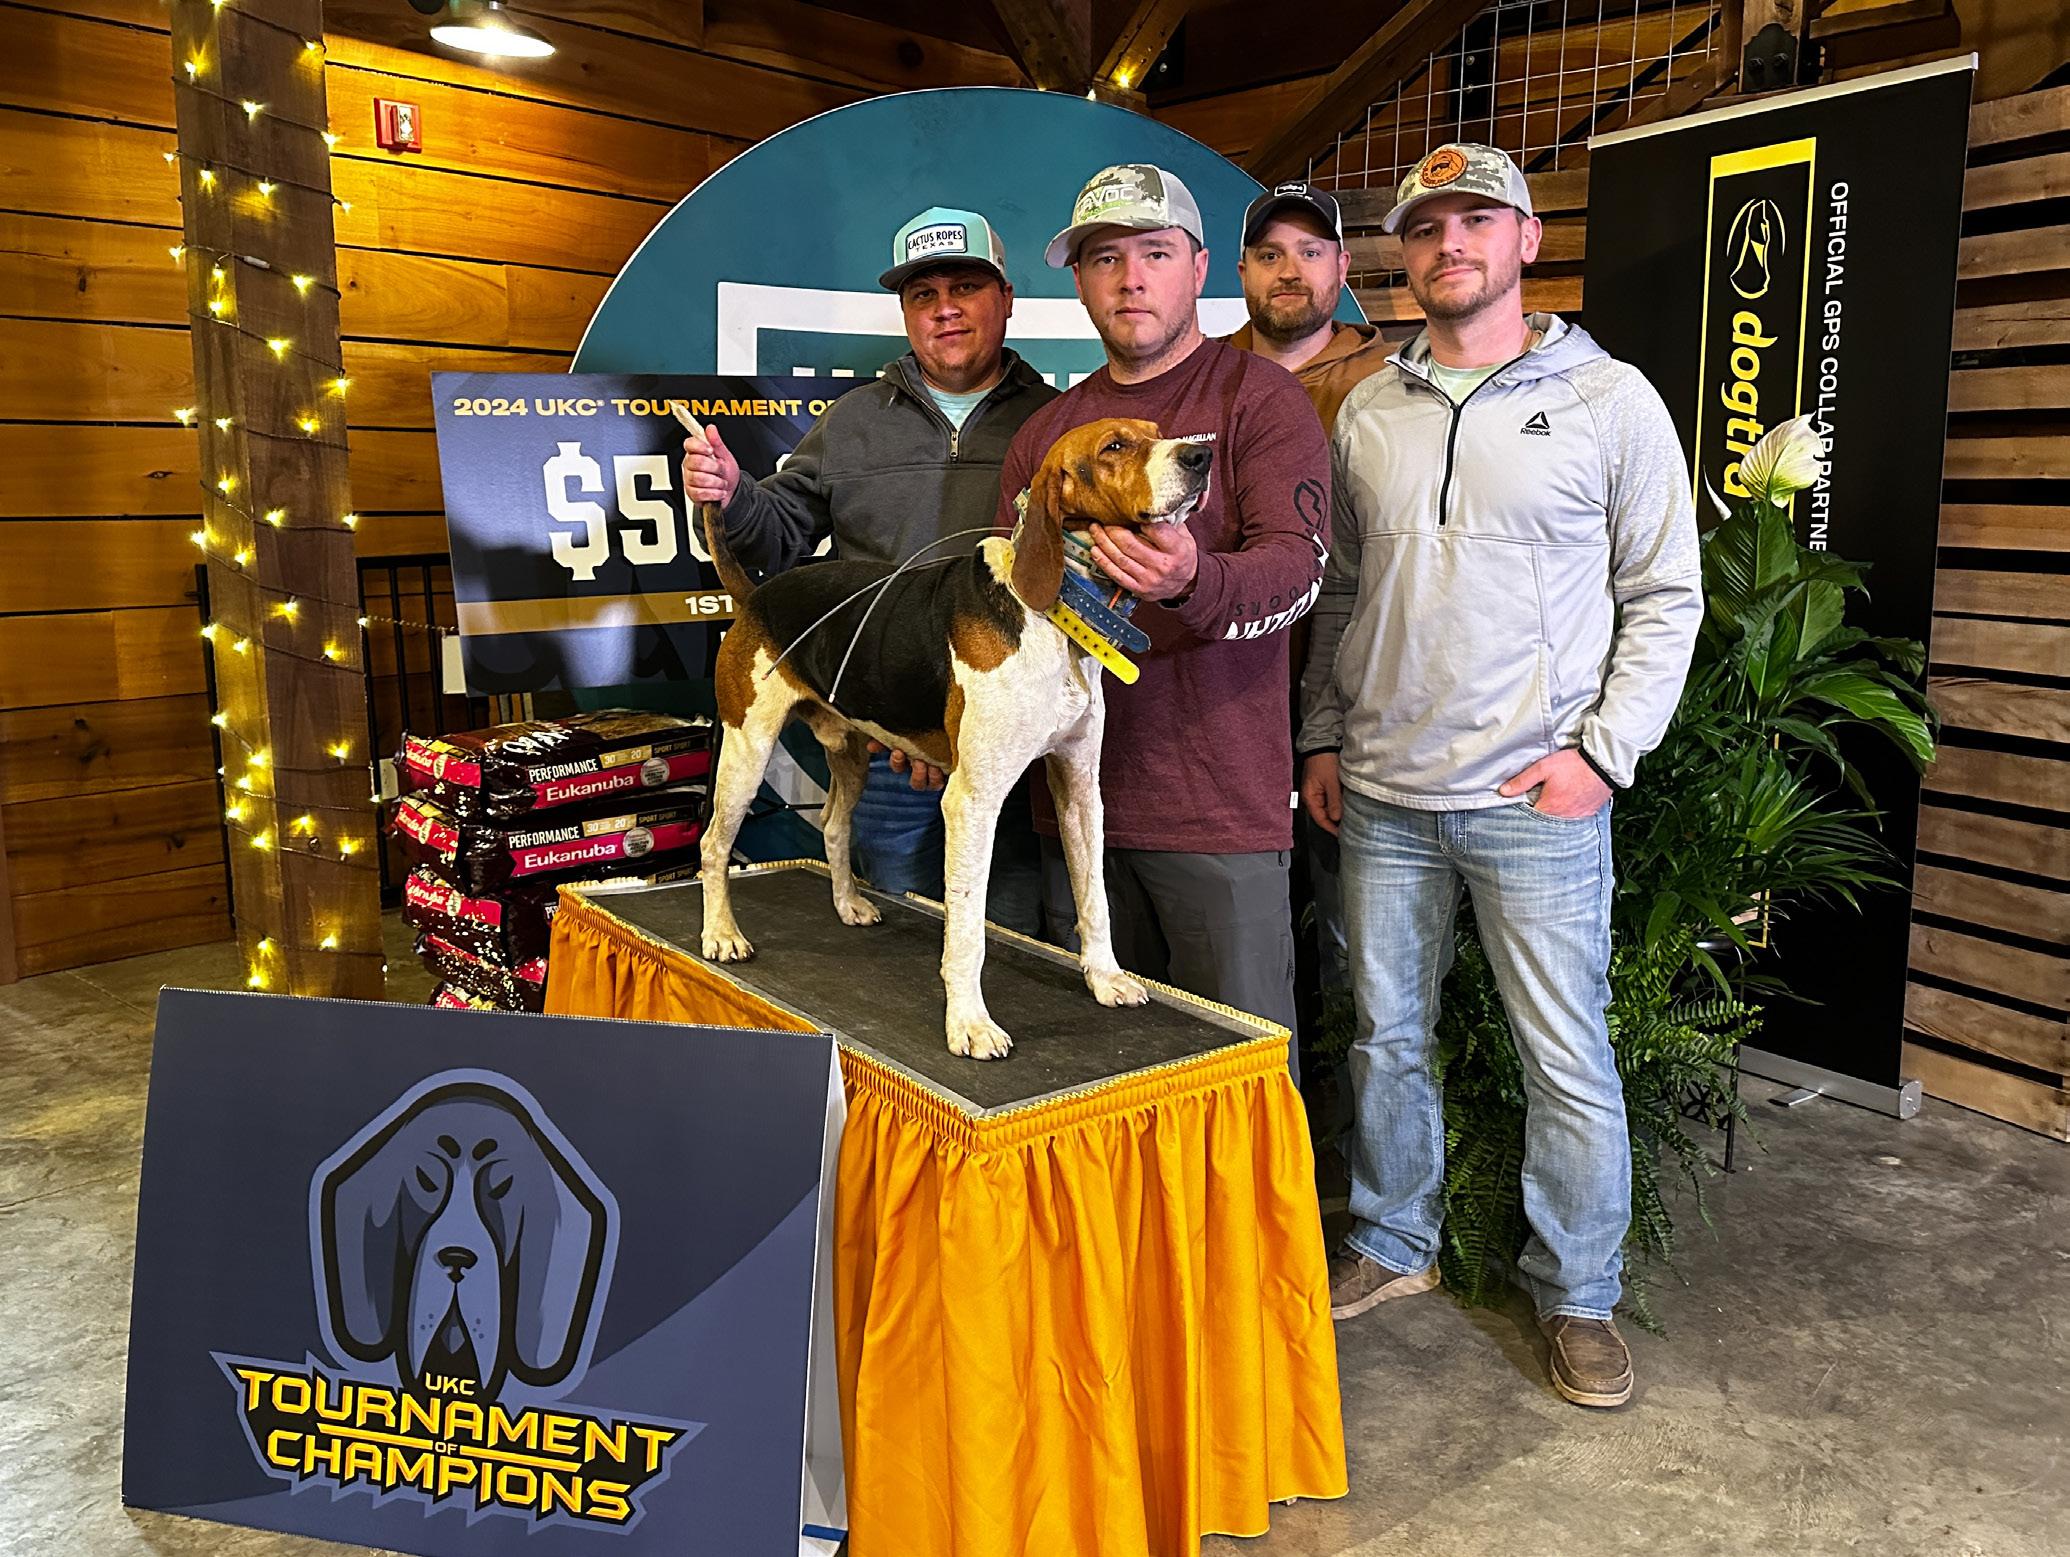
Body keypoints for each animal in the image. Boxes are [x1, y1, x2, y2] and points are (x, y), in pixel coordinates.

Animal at [691, 417, 1212, 1058]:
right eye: (1114, 446)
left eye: (1157, 432)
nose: (1200, 457)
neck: (1054, 615)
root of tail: (757, 595)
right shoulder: (973, 801)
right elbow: (967, 926)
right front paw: (969, 1022)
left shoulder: (1080, 789)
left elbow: (1095, 897)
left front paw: (1106, 977)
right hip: (746, 751)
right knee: (714, 845)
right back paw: (721, 934)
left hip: (847, 750)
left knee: (834, 826)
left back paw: (848, 903)